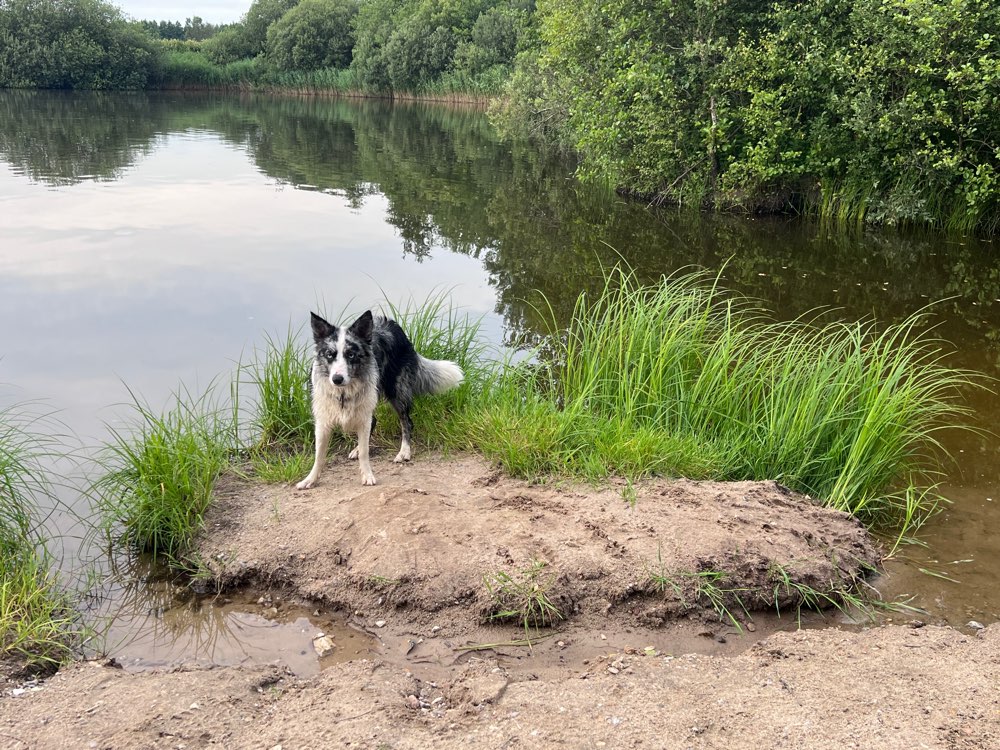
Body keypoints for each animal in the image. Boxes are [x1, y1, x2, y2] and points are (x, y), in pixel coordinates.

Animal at [294, 310, 462, 490]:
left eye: (351, 355)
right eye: (329, 355)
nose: (337, 379)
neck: (344, 393)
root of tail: (394, 325)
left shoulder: (364, 415)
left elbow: (365, 452)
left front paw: (367, 476)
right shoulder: (323, 421)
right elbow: (319, 455)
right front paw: (310, 480)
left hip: (397, 393)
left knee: (407, 422)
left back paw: (404, 452)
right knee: (375, 421)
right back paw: (358, 449)